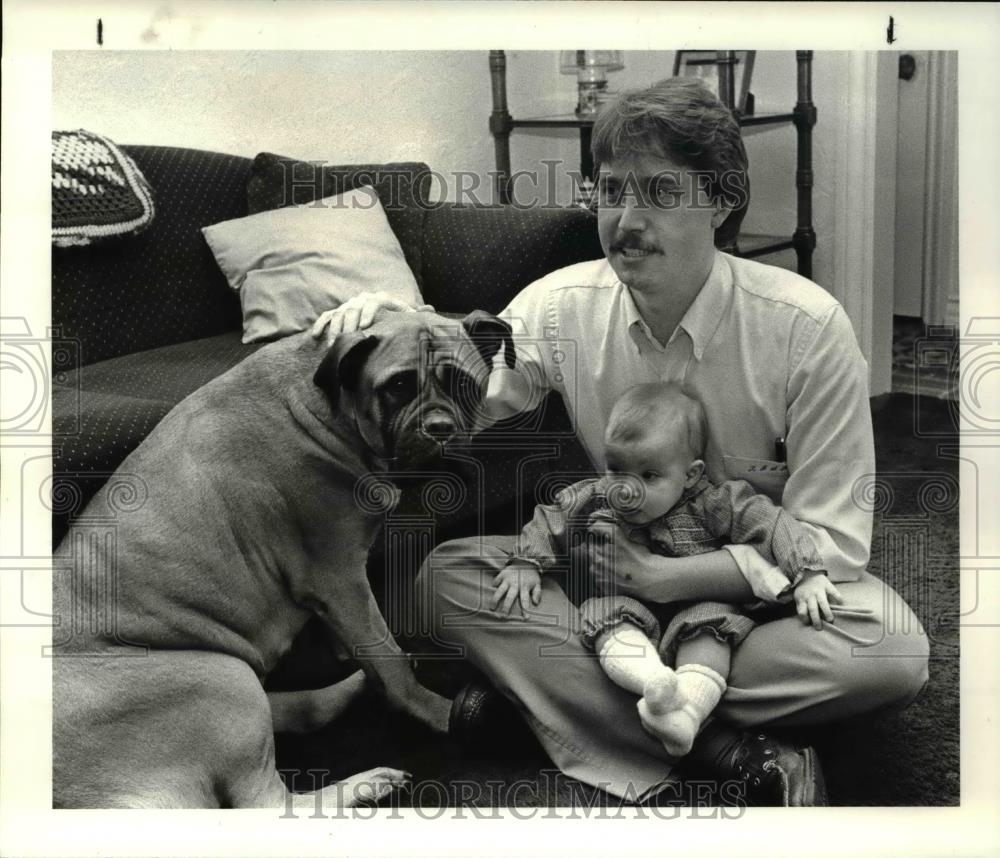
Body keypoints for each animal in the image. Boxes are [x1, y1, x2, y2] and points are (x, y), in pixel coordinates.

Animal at [50, 310, 512, 804]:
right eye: (398, 386)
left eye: (463, 383)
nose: (440, 429)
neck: (332, 411)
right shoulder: (339, 578)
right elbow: (389, 661)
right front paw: (437, 712)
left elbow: (369, 646)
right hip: (219, 676)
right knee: (269, 802)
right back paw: (368, 781)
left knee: (294, 712)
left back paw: (348, 692)